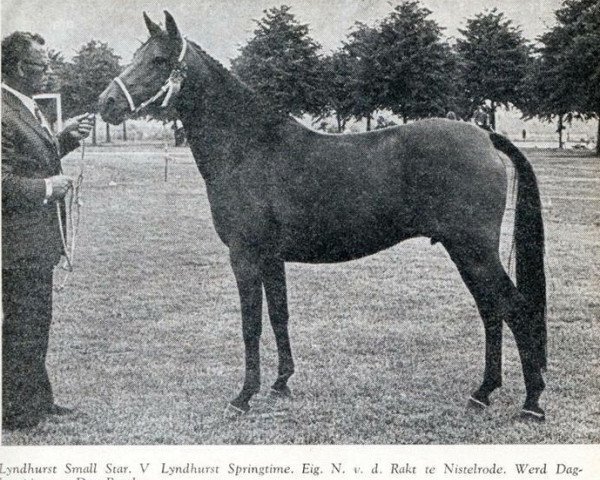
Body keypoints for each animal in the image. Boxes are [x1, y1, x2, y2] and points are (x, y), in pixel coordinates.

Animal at [99, 12, 548, 420]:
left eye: (158, 59)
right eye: (136, 55)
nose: (106, 103)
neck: (250, 147)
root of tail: (483, 135)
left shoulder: (245, 255)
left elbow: (251, 324)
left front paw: (244, 396)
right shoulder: (271, 257)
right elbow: (279, 315)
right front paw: (281, 383)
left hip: (474, 250)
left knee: (515, 309)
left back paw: (531, 404)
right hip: (464, 251)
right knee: (492, 312)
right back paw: (483, 393)